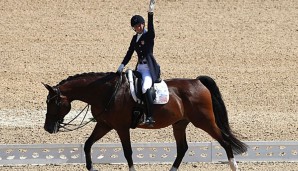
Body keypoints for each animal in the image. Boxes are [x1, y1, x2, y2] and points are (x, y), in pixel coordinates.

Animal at [42, 72, 247, 171]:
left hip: (204, 121)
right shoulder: (105, 125)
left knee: (225, 141)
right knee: (182, 148)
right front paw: (91, 168)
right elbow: (87, 144)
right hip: (180, 124)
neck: (107, 92)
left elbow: (128, 152)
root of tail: (197, 82)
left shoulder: (121, 127)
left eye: (54, 102)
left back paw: (234, 167)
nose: (47, 128)